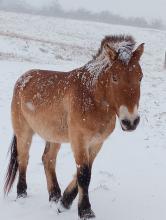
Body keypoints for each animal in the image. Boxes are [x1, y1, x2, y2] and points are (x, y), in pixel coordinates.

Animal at [3, 35, 144, 219]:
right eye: (114, 77)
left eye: (140, 77)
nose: (131, 122)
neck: (91, 97)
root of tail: (23, 79)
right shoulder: (79, 140)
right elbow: (83, 174)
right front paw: (85, 210)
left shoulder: (96, 143)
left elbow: (85, 171)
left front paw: (64, 202)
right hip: (24, 132)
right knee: (23, 158)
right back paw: (21, 194)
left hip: (53, 136)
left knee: (48, 159)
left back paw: (55, 196)